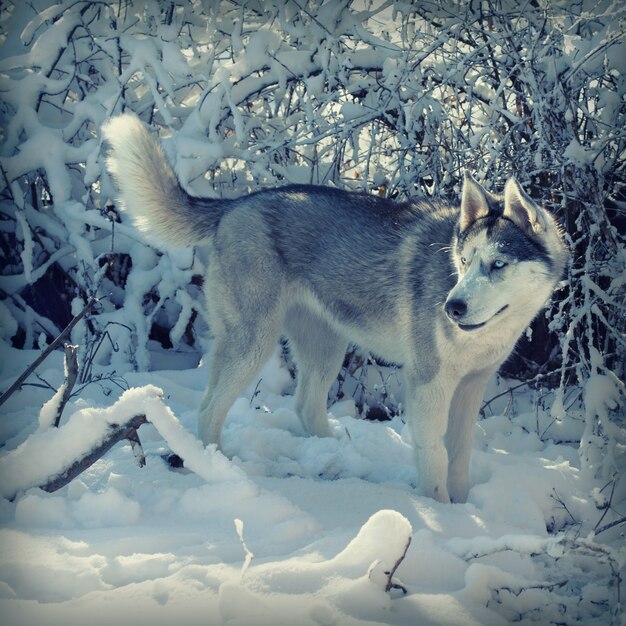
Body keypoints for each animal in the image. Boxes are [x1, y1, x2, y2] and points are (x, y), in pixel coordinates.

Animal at [103, 113, 564, 502]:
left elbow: (460, 456)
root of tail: (236, 204)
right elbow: (434, 456)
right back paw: (218, 471)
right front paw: (441, 508)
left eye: (497, 264)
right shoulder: (428, 384)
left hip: (325, 346)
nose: (452, 307)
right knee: (208, 409)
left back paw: (337, 455)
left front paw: (464, 508)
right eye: (464, 262)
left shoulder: (471, 386)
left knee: (305, 407)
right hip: (254, 344)